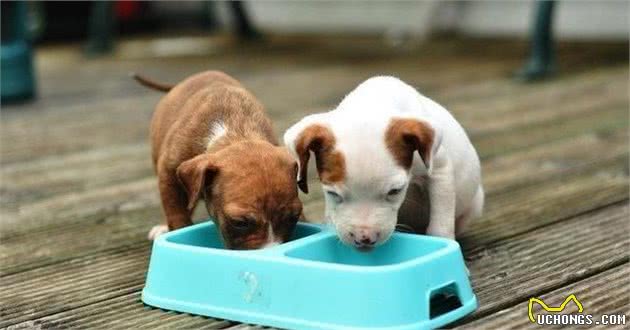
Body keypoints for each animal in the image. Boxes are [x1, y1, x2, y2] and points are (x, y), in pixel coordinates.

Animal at [284, 76, 486, 250]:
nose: (364, 239)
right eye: (332, 193)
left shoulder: (439, 171)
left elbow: (440, 223)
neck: (373, 103)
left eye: (395, 191)